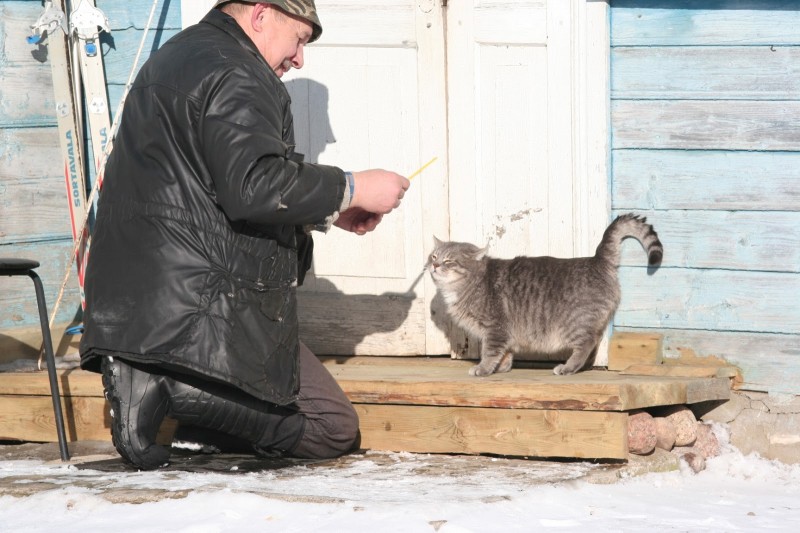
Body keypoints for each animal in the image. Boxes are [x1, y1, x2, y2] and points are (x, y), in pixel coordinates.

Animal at [424, 214, 664, 376]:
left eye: (449, 261)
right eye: (434, 256)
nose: (434, 265)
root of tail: (597, 260)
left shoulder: (495, 329)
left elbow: (490, 352)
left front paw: (482, 369)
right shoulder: (504, 333)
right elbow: (505, 353)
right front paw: (502, 367)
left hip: (573, 324)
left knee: (586, 343)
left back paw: (568, 367)